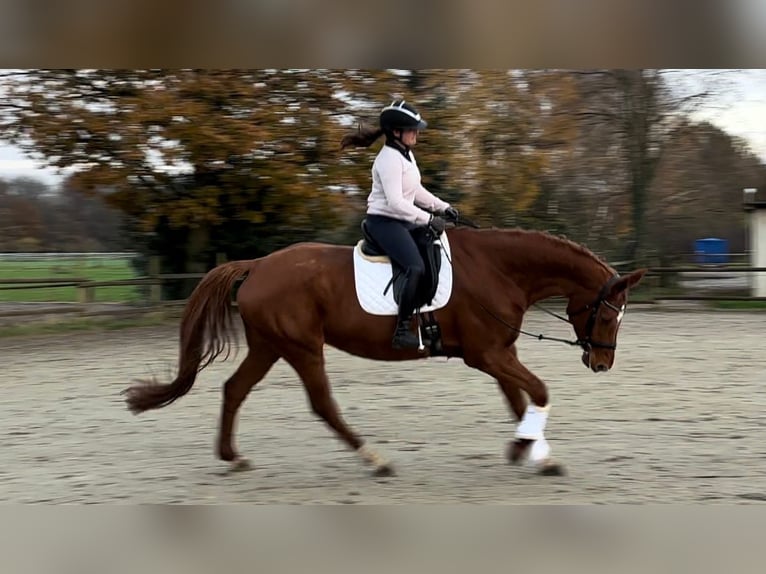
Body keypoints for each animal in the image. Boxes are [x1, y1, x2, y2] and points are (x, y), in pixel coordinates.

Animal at [121, 223, 648, 480]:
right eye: (607, 316)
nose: (601, 363)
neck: (498, 269)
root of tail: (258, 265)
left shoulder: (497, 353)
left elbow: (519, 400)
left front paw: (528, 451)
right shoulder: (487, 354)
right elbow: (538, 392)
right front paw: (532, 451)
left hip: (270, 345)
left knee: (234, 390)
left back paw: (232, 457)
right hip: (302, 347)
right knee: (323, 405)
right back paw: (375, 459)